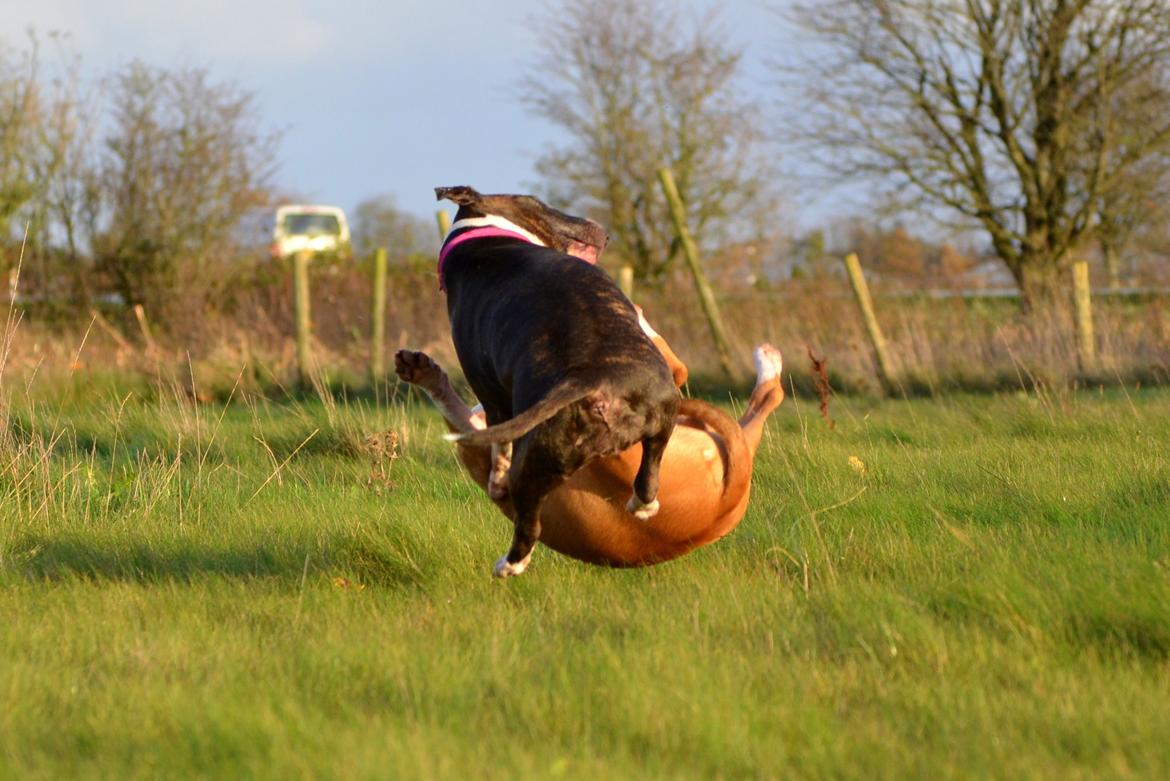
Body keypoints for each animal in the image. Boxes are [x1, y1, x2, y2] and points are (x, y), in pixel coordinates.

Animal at [435, 185, 683, 577]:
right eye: (539, 203)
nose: (602, 231)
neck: (485, 233)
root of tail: (591, 378)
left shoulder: (492, 396)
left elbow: (498, 444)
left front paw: (494, 480)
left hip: (534, 458)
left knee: (529, 524)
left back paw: (509, 565)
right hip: (663, 412)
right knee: (648, 475)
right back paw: (641, 507)